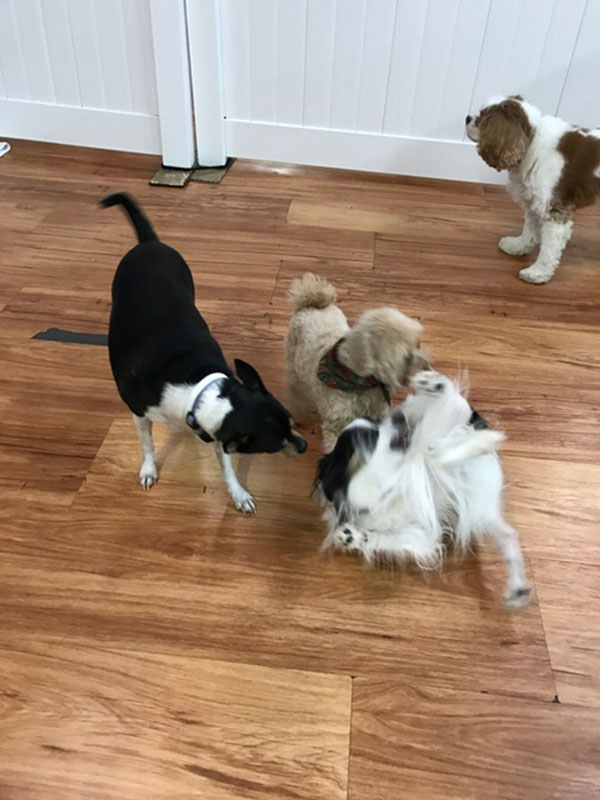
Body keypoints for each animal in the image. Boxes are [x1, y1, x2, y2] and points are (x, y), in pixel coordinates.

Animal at [102, 193, 306, 513]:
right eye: (273, 445)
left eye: (291, 423)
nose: (304, 446)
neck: (194, 390)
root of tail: (149, 243)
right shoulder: (139, 413)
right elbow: (147, 444)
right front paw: (148, 468)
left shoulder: (217, 435)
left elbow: (227, 467)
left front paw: (238, 493)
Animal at [285, 272, 427, 452]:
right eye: (407, 356)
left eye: (418, 344)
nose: (427, 367)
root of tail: (310, 305)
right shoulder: (337, 428)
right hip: (293, 367)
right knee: (295, 392)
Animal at [315, 370, 530, 609]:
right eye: (370, 438)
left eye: (377, 422)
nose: (397, 418)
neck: (385, 486)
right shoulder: (422, 535)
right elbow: (388, 540)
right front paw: (351, 537)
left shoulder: (419, 468)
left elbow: (433, 456)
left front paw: (474, 445)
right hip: (481, 513)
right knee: (508, 535)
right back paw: (518, 588)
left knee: (454, 405)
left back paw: (433, 386)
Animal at [466, 94, 600, 284]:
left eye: (482, 117)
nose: (467, 118)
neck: (532, 141)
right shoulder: (535, 203)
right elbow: (529, 230)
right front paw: (517, 246)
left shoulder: (554, 211)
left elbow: (549, 250)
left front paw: (537, 273)